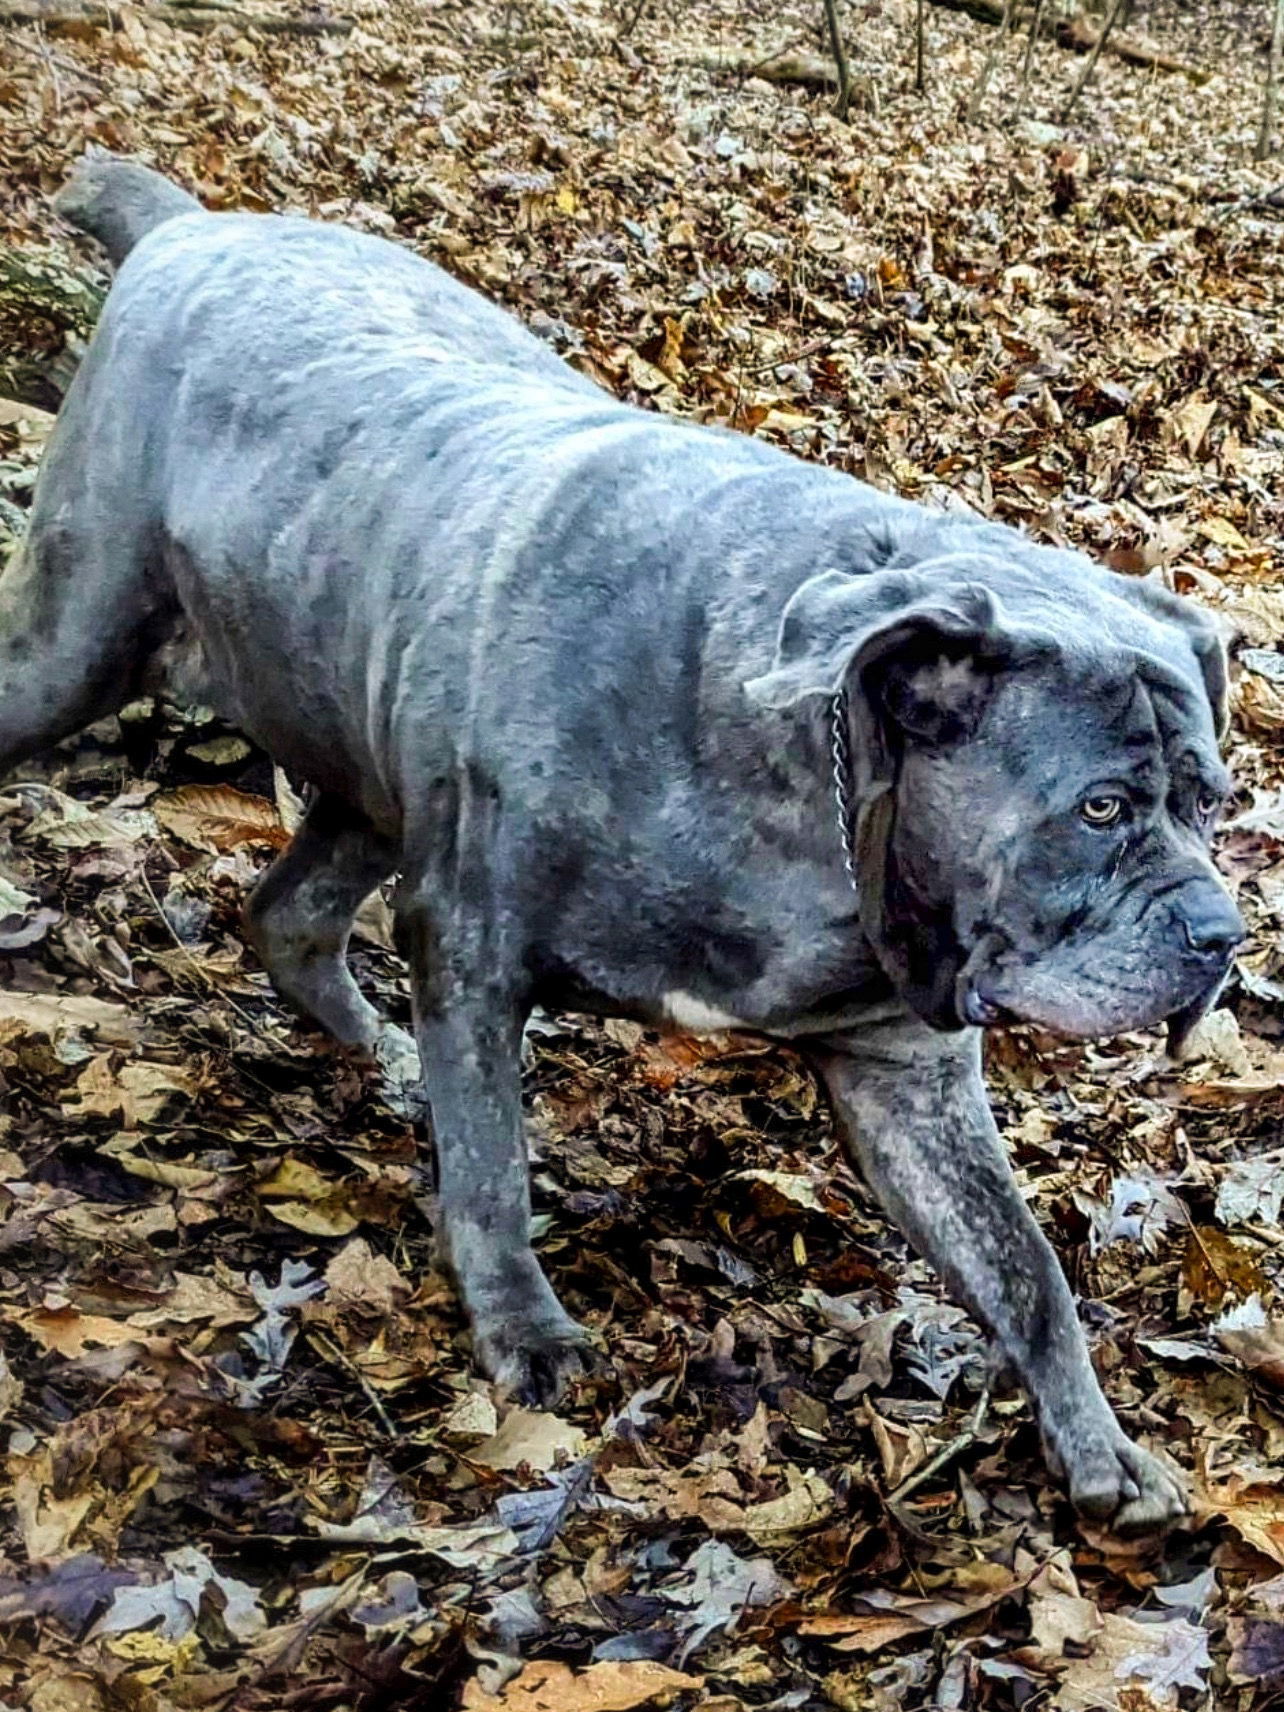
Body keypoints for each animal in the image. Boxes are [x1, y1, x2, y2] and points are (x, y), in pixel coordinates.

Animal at [2, 154, 1246, 1533]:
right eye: (1102, 807)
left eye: (1212, 801)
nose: (1221, 934)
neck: (812, 779)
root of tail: (189, 228)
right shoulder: (474, 943)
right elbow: (491, 1165)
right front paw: (524, 1333)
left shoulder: (905, 1074)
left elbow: (1026, 1266)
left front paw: (1100, 1442)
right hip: (71, 644)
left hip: (365, 759)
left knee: (289, 911)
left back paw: (381, 1051)